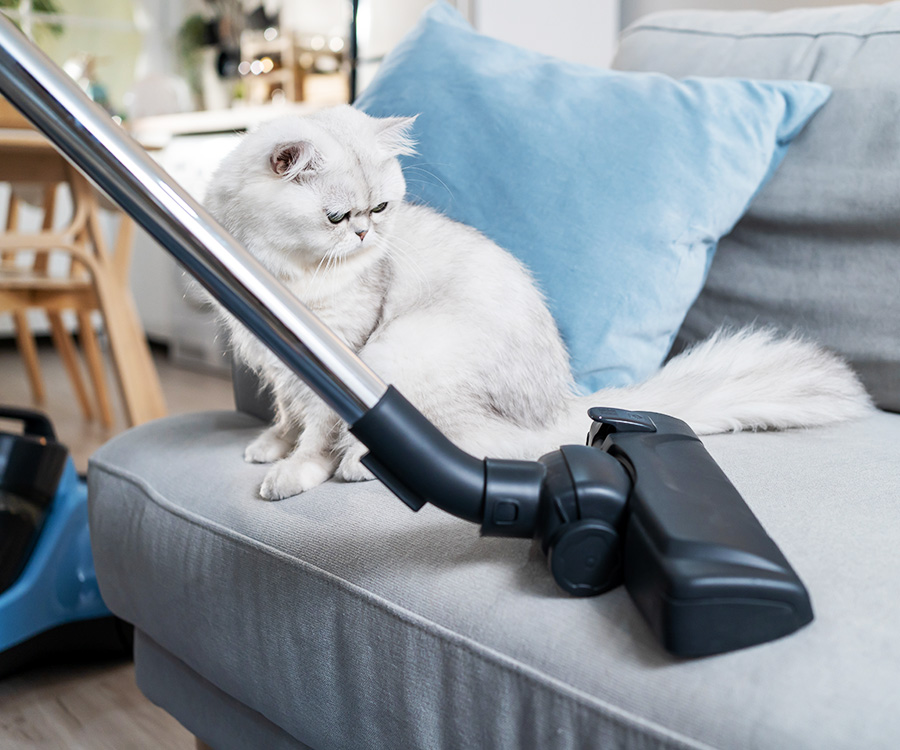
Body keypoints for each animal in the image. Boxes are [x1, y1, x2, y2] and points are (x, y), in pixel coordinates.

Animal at [206, 106, 872, 502]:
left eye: (380, 209)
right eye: (337, 217)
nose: (367, 236)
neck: (286, 277)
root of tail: (563, 402)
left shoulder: (335, 354)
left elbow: (315, 434)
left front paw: (292, 471)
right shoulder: (276, 363)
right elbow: (285, 417)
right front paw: (269, 446)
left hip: (403, 353)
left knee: (474, 449)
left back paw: (358, 465)